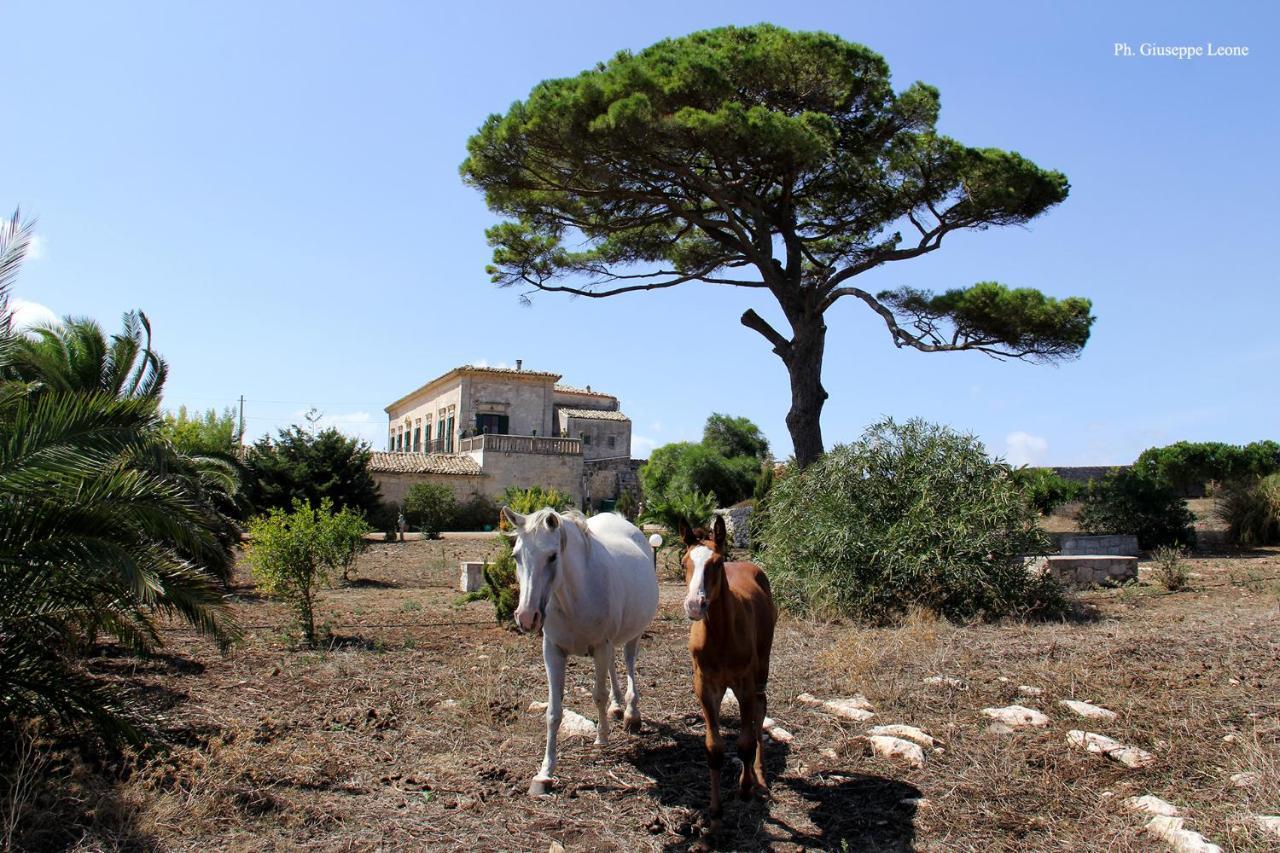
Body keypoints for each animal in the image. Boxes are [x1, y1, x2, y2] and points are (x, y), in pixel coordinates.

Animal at [501, 504, 660, 788]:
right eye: (516, 555)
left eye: (552, 556)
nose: (527, 617)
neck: (573, 596)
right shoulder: (553, 651)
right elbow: (554, 711)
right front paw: (545, 771)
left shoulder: (600, 646)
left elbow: (598, 695)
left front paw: (602, 738)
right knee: (613, 667)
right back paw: (617, 707)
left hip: (632, 636)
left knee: (629, 664)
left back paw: (631, 714)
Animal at [680, 514, 778, 819]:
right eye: (684, 563)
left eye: (716, 563)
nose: (695, 605)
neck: (721, 636)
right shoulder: (705, 686)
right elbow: (714, 747)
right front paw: (714, 809)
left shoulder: (744, 684)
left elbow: (745, 743)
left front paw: (745, 788)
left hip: (761, 669)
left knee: (760, 712)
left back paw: (759, 777)